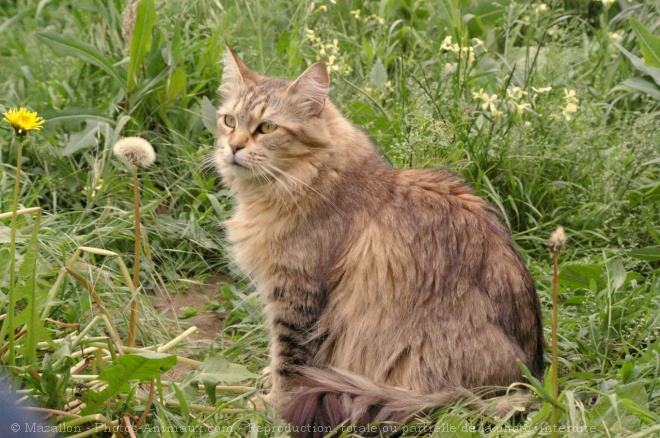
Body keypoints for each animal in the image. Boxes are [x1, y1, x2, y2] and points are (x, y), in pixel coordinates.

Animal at [214, 46, 544, 436]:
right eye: (229, 121)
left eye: (266, 127)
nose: (233, 147)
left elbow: (288, 361)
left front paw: (270, 406)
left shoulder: (296, 294)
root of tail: (531, 384)